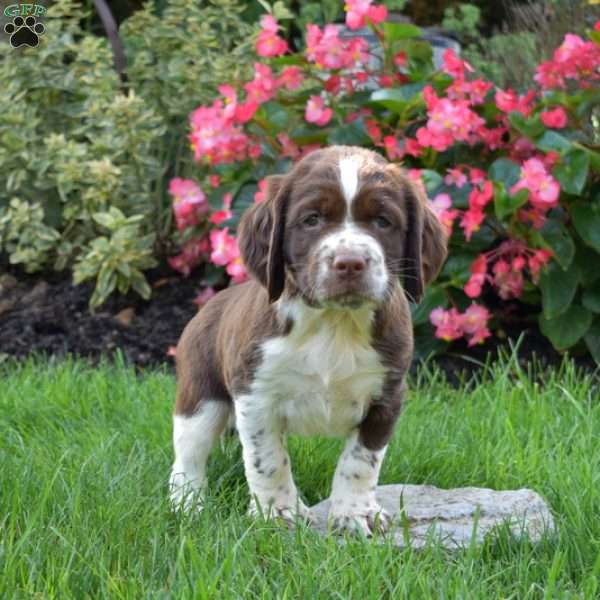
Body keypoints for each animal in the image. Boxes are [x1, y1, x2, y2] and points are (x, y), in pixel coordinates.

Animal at [168, 145, 446, 536]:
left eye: (383, 221)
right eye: (312, 219)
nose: (350, 263)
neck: (334, 323)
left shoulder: (387, 396)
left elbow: (360, 461)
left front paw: (354, 514)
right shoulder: (256, 394)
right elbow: (268, 460)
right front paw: (278, 513)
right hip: (201, 394)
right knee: (188, 455)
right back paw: (188, 504)